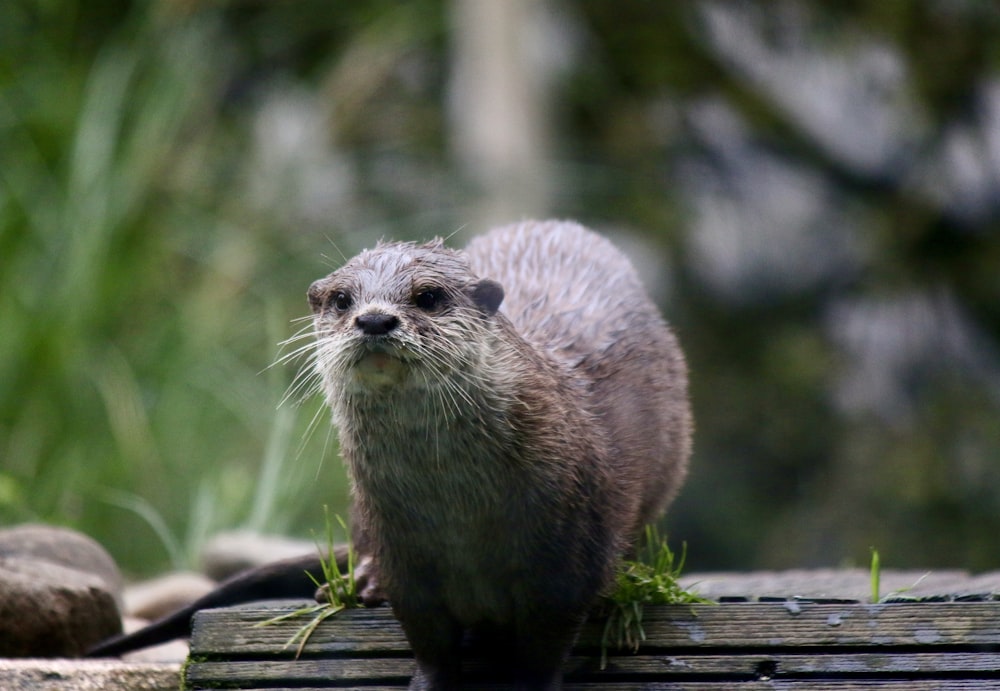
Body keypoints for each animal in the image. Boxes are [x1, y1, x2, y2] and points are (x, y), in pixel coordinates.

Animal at [90, 222, 692, 691]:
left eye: (428, 297)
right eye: (342, 300)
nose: (375, 319)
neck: (459, 513)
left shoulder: (567, 549)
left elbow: (546, 639)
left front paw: (533, 682)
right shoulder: (403, 544)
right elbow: (425, 632)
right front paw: (428, 677)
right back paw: (359, 584)